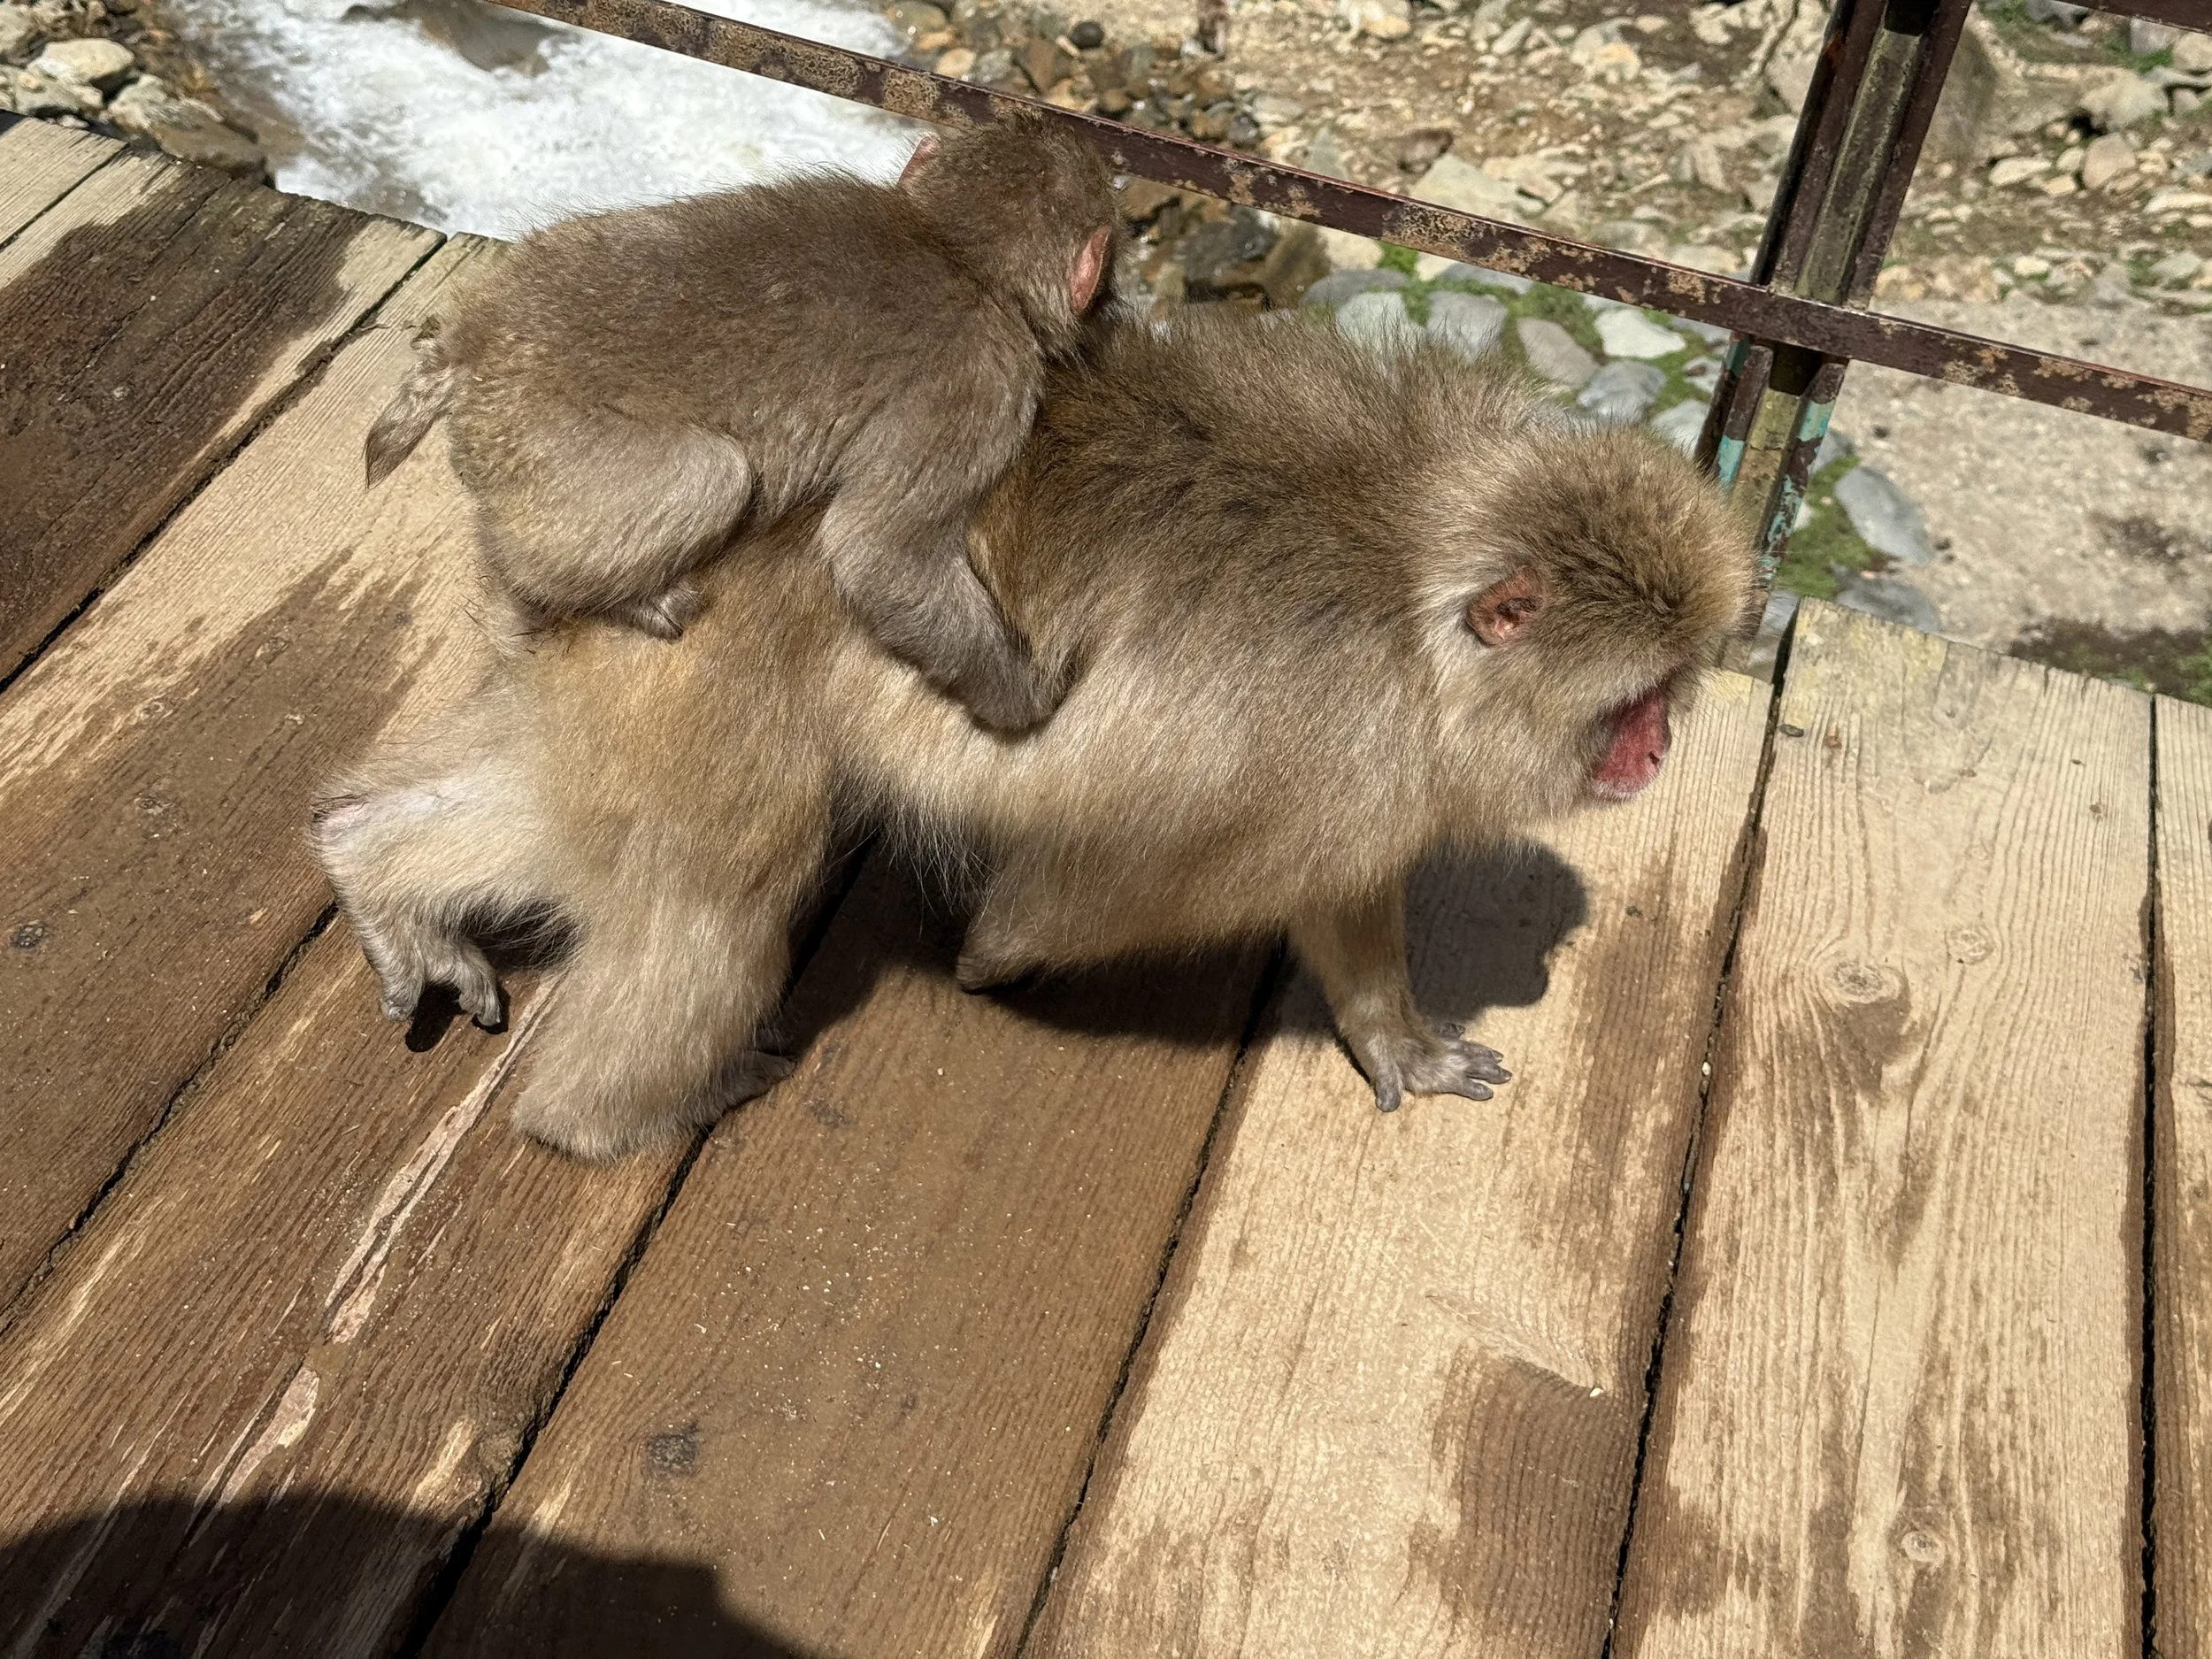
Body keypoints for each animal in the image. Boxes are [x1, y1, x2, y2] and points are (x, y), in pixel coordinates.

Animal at [315, 306, 1760, 1160]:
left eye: (1669, 691)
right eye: (1632, 703)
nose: (1655, 754)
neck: (1413, 601)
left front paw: (1390, 1037)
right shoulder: (1326, 765)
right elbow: (1115, 884)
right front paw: (995, 952)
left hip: (627, 659)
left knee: (573, 804)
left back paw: (368, 863)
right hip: (699, 665)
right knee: (721, 883)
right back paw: (601, 1120)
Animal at [360, 113, 1119, 736]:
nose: (1107, 299)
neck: (953, 247)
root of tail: (475, 342)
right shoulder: (985, 385)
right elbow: (880, 552)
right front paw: (1025, 696)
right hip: (548, 447)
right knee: (710, 478)